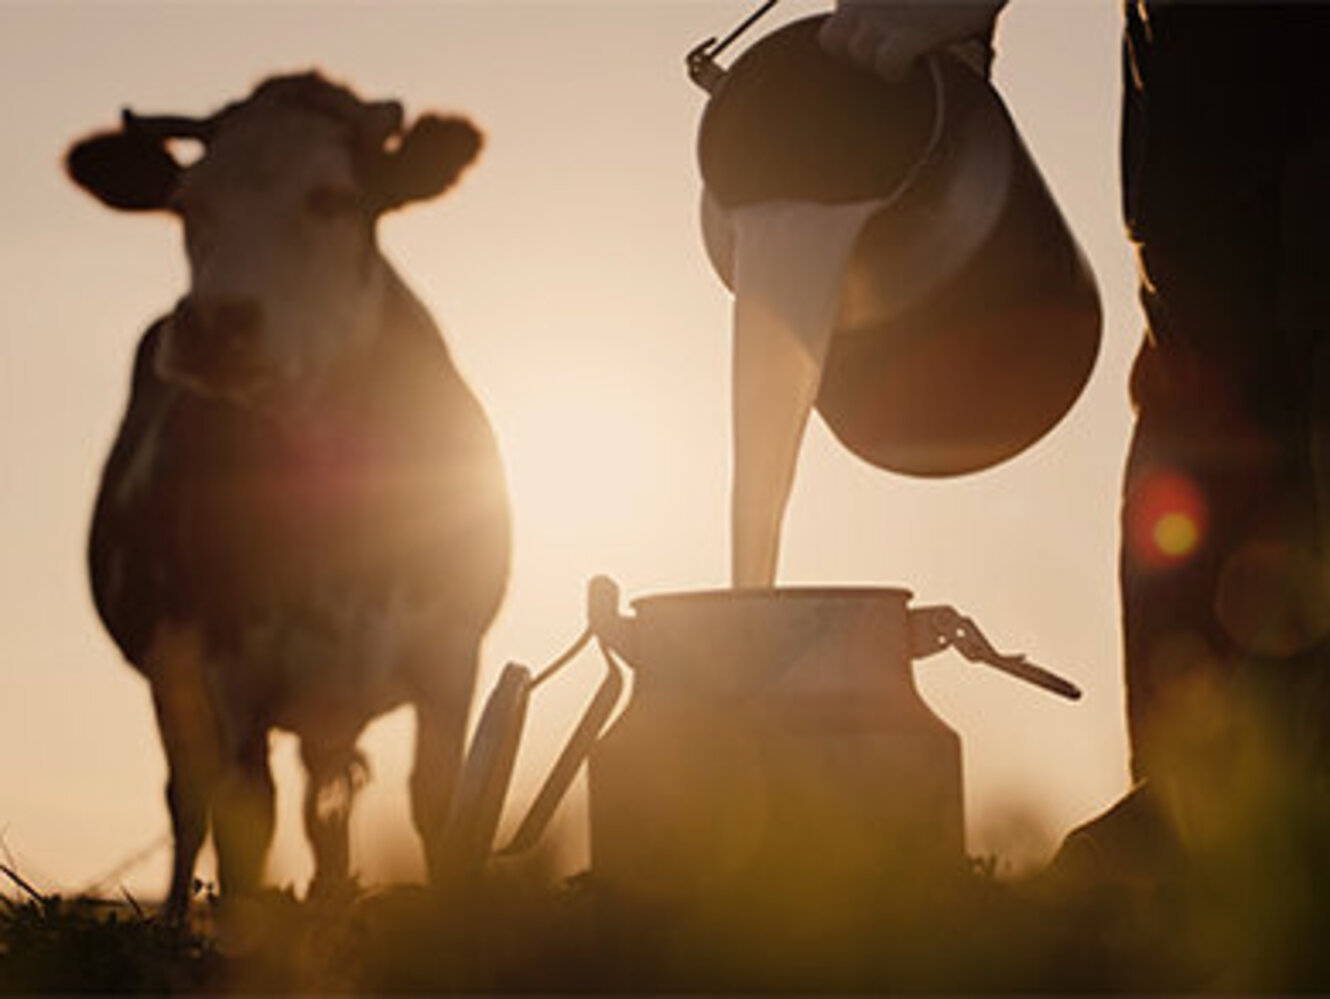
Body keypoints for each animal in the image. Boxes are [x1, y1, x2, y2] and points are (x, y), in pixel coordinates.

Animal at [66, 74, 513, 920]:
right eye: (187, 204)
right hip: (176, 681)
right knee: (190, 801)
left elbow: (437, 806)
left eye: (333, 198)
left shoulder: (451, 654)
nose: (214, 324)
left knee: (324, 806)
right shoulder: (233, 674)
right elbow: (246, 828)